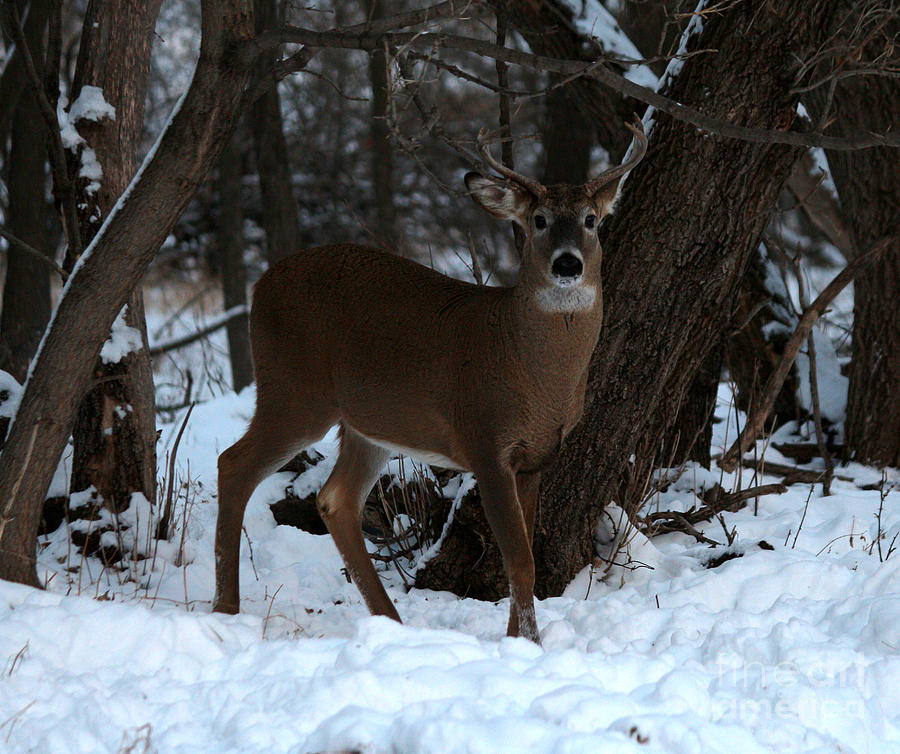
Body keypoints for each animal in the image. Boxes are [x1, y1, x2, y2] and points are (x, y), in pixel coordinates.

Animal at [213, 117, 648, 640]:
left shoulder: (537, 457)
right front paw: (528, 644)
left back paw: (391, 622)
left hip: (367, 422)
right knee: (233, 463)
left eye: (590, 220)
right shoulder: (485, 442)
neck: (530, 366)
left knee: (335, 498)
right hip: (294, 390)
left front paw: (520, 640)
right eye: (539, 220)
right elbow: (519, 562)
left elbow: (526, 560)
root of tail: (260, 286)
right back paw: (226, 609)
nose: (567, 263)